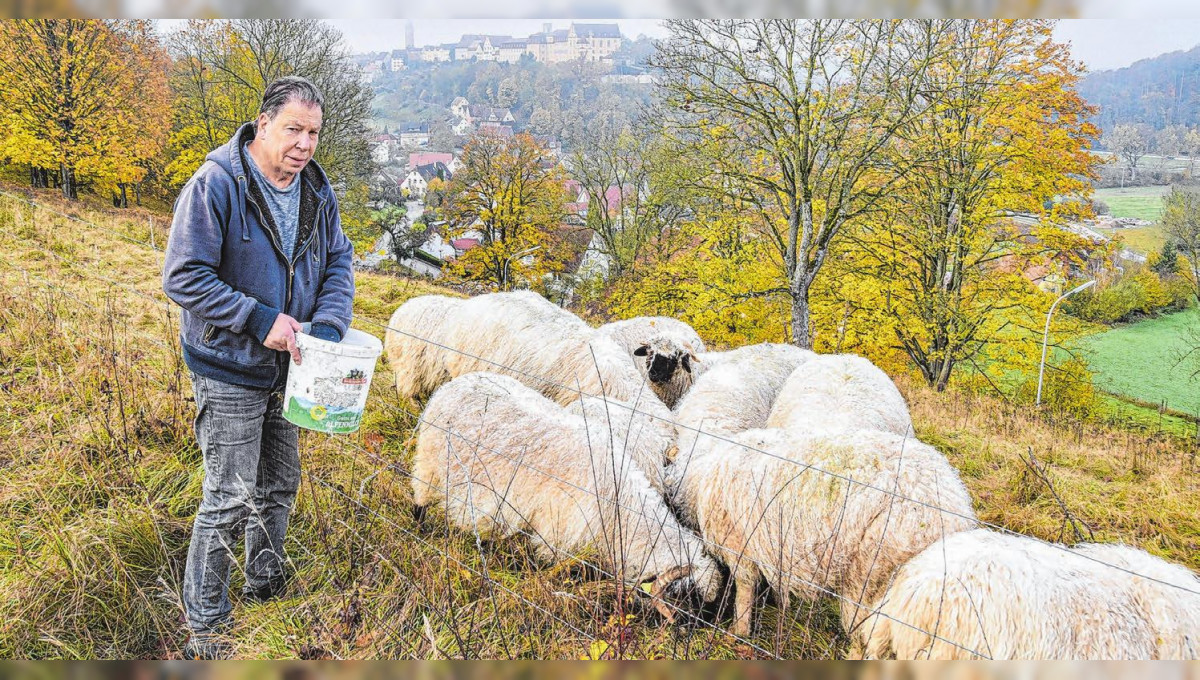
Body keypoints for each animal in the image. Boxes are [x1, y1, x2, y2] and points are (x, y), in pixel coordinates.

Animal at [417, 371, 720, 618]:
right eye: (687, 595)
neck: (620, 509)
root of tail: (459, 381)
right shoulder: (556, 540)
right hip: (429, 467)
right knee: (420, 502)